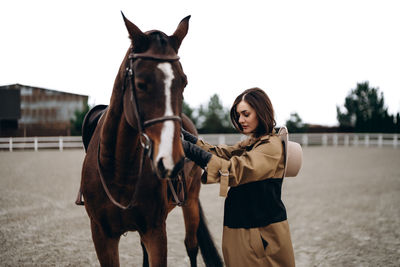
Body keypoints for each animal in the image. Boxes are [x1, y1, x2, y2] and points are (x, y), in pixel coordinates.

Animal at [78, 14, 222, 267]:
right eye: (141, 84)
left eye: (184, 82)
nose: (172, 159)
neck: (119, 169)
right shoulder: (102, 236)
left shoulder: (156, 232)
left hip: (191, 201)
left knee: (191, 246)